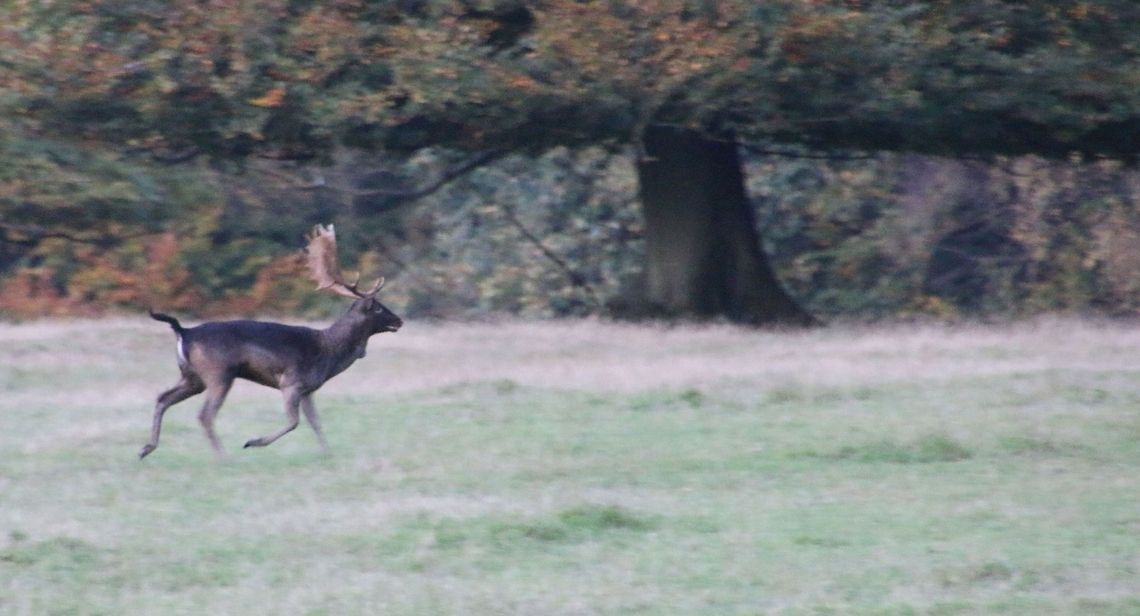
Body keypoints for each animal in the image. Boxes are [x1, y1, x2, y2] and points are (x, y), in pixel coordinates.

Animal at [139, 224, 403, 460]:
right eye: (378, 308)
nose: (399, 321)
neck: (327, 352)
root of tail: (184, 331)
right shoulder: (291, 381)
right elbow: (294, 421)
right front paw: (252, 442)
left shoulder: (308, 388)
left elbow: (316, 422)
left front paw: (328, 453)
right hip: (218, 373)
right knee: (204, 415)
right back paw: (224, 457)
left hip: (193, 376)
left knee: (163, 398)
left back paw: (146, 448)